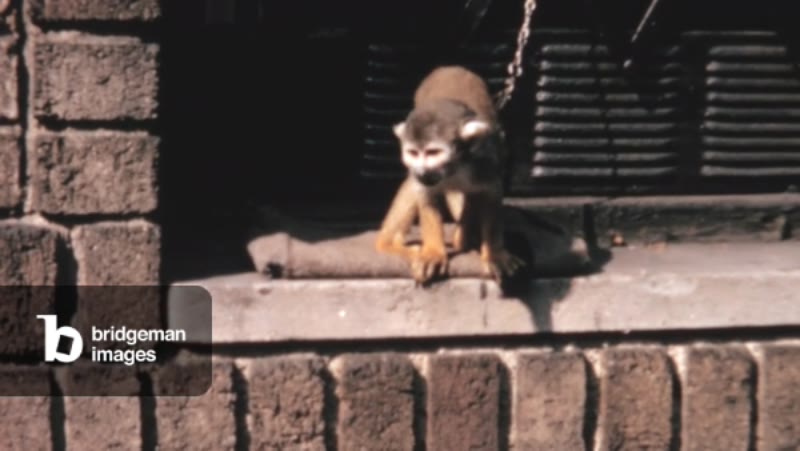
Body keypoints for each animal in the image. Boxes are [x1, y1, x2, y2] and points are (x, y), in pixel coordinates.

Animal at [374, 65, 525, 284]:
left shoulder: (486, 161)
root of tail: (449, 67)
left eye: (433, 152)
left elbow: (490, 194)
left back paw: (464, 238)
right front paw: (433, 253)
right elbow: (425, 194)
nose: (421, 171)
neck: (454, 167)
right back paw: (386, 244)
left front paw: (495, 254)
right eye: (413, 153)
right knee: (413, 185)